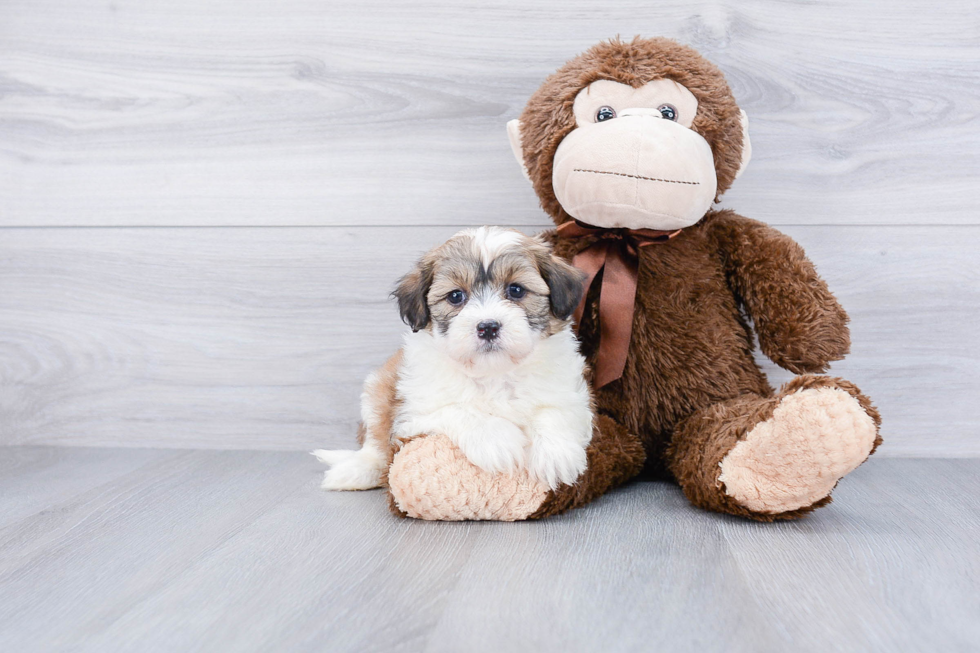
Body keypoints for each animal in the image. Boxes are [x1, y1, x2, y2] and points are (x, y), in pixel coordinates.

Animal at [314, 227, 592, 492]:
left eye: (516, 290)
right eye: (456, 296)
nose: (488, 327)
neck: (492, 373)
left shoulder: (571, 394)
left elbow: (555, 411)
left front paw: (556, 455)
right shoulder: (411, 415)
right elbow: (456, 410)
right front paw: (496, 440)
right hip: (376, 390)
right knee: (374, 446)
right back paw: (355, 472)